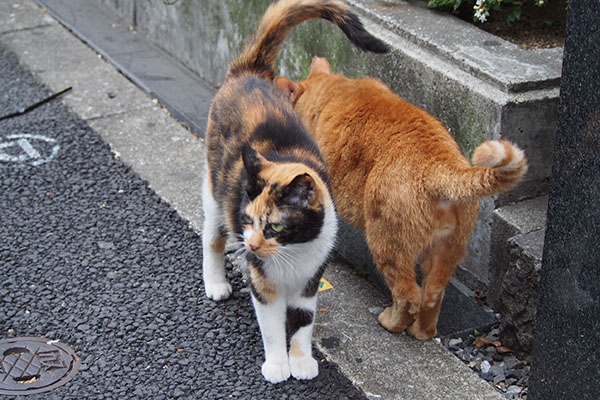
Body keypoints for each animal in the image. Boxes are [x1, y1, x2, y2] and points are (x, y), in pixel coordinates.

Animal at [202, 0, 390, 382]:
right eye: (247, 220)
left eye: (275, 226)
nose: (251, 245)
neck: (293, 254)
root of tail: (251, 73)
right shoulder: (263, 284)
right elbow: (273, 327)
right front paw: (277, 364)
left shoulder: (310, 281)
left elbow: (303, 322)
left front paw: (301, 361)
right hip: (214, 192)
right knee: (210, 237)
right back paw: (215, 283)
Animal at [274, 56, 528, 340]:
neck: (330, 91)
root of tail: (440, 163)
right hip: (446, 249)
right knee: (432, 295)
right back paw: (422, 332)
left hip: (387, 242)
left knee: (408, 296)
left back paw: (391, 323)